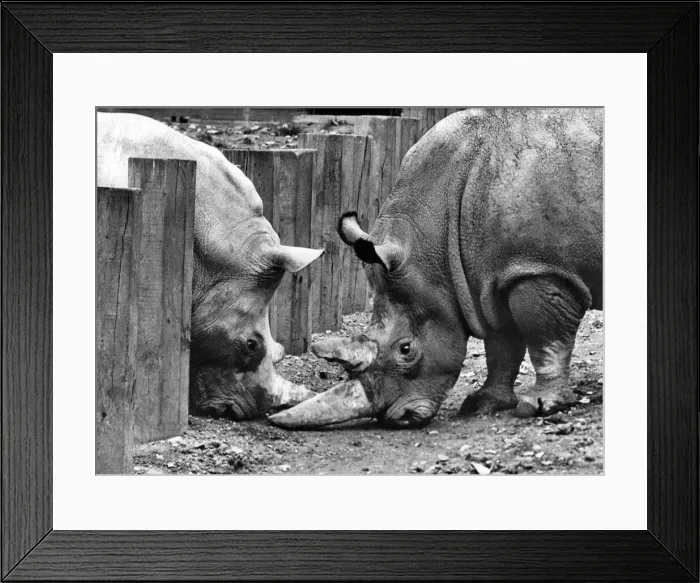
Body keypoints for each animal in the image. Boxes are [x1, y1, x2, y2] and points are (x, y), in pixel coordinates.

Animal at [269, 108, 602, 429]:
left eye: (405, 349)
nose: (398, 418)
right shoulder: (492, 278)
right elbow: (502, 344)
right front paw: (483, 404)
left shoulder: (539, 268)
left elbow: (545, 338)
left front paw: (540, 406)